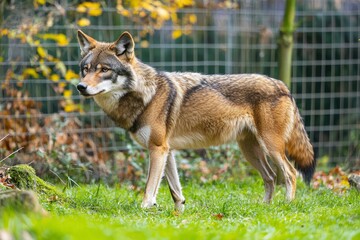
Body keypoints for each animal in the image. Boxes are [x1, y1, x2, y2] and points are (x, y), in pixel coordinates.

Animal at [76, 30, 316, 212]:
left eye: (104, 70)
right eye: (85, 70)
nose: (81, 87)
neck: (146, 95)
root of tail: (282, 85)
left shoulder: (157, 148)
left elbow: (149, 187)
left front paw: (144, 210)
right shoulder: (167, 151)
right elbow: (175, 191)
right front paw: (178, 214)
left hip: (271, 147)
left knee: (290, 173)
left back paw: (286, 206)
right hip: (250, 150)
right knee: (271, 177)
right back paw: (265, 207)